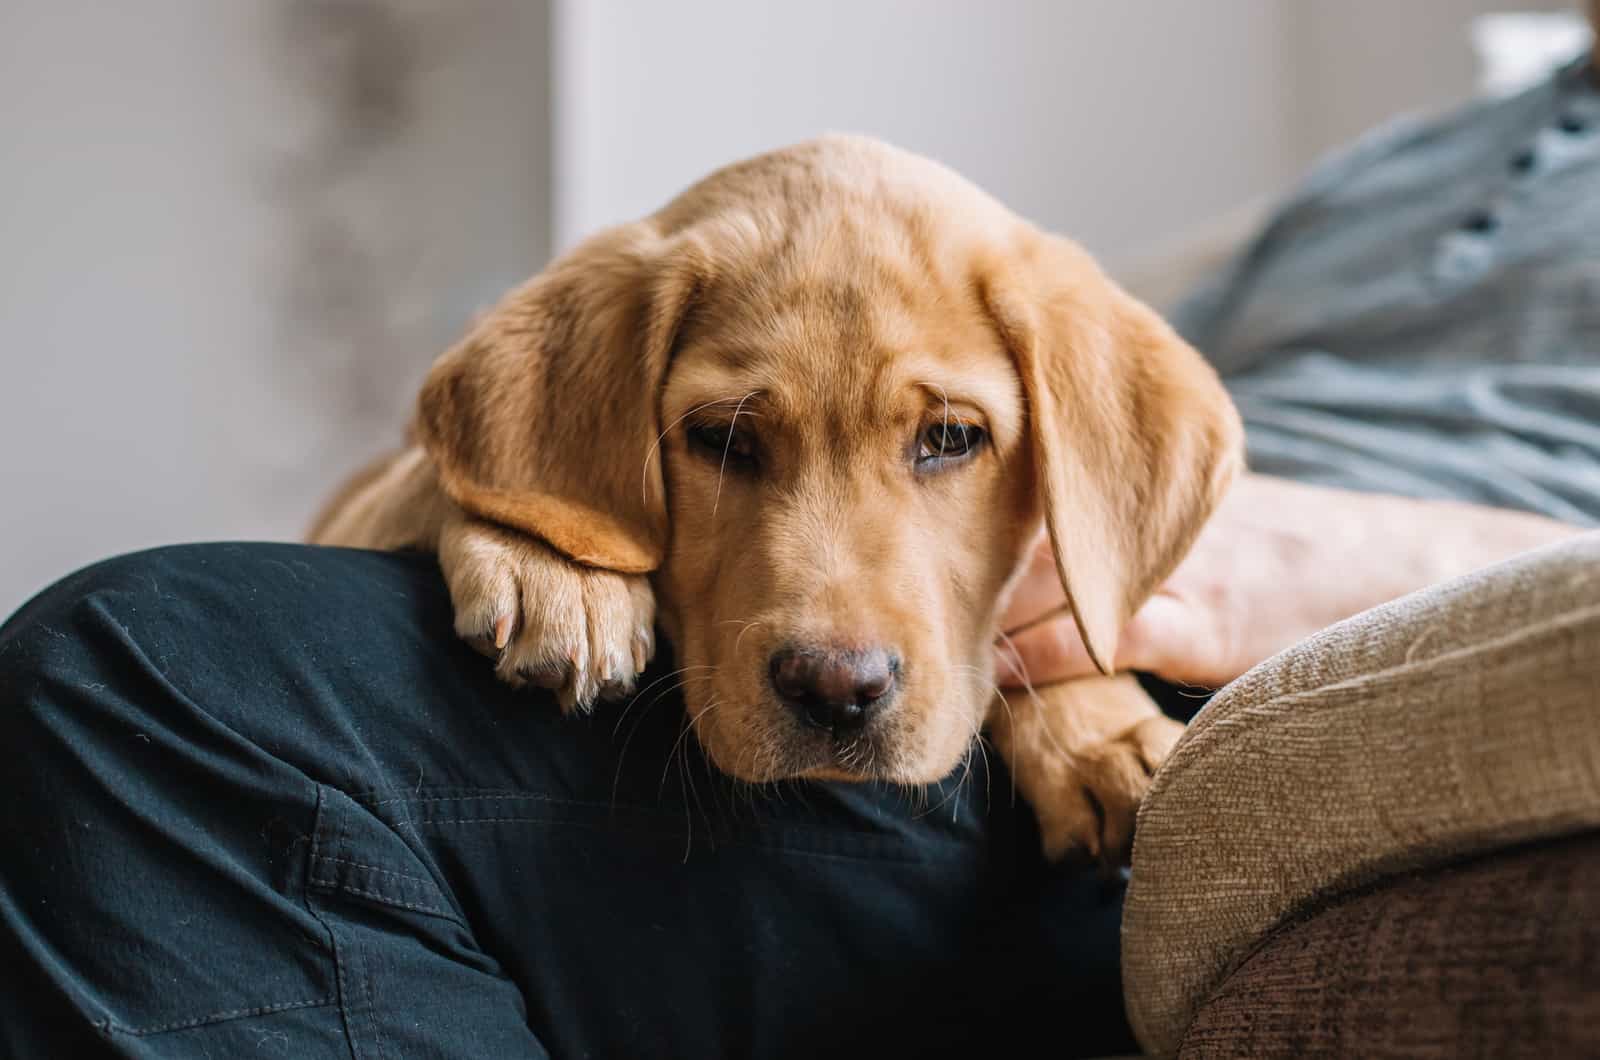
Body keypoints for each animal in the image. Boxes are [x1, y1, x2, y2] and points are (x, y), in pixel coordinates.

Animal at [308, 135, 1235, 864]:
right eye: (723, 441)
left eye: (948, 438)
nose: (836, 691)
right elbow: (437, 479)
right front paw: (560, 565)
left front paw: (1102, 733)